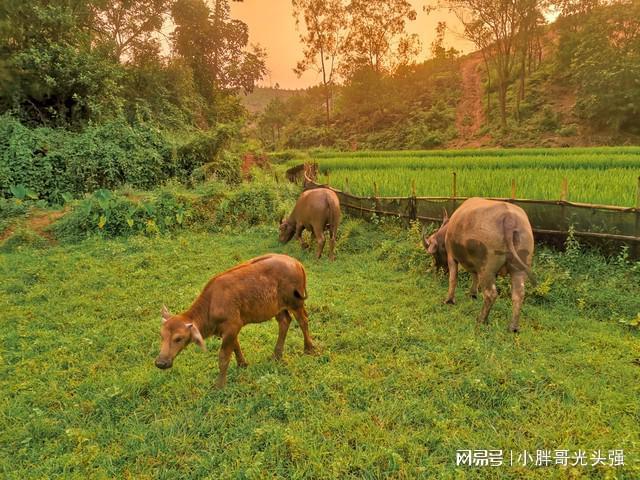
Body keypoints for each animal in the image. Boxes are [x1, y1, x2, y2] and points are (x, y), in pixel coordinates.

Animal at [155, 253, 316, 388]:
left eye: (178, 338)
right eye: (162, 336)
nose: (160, 363)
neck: (211, 304)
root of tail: (296, 262)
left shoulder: (232, 327)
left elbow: (223, 356)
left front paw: (219, 385)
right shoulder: (230, 329)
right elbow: (236, 346)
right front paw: (242, 364)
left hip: (296, 303)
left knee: (303, 321)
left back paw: (309, 348)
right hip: (278, 308)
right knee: (284, 321)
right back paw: (276, 355)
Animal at [422, 197, 536, 332]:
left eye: (434, 254)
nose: (435, 267)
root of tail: (509, 220)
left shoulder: (451, 257)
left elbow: (453, 279)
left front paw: (449, 300)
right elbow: (474, 276)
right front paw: (472, 294)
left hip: (487, 269)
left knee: (490, 294)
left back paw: (481, 319)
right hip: (519, 270)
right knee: (518, 294)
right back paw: (513, 327)